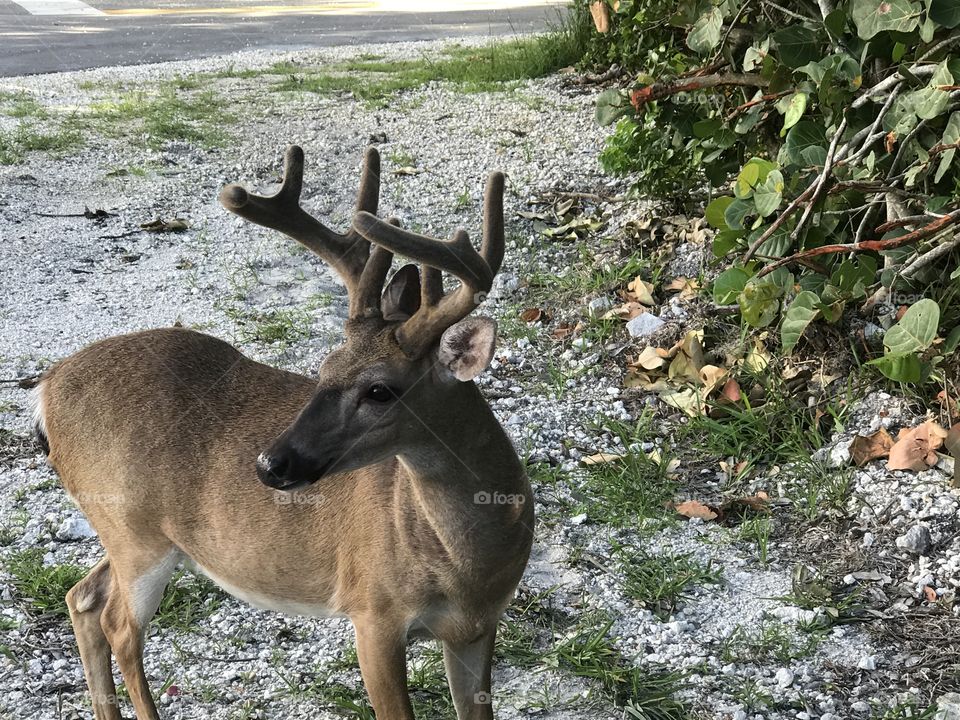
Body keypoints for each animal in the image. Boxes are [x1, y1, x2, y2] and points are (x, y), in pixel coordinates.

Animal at [30, 144, 534, 720]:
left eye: (380, 390)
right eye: (324, 366)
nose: (270, 464)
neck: (470, 567)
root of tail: (45, 390)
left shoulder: (477, 627)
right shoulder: (373, 610)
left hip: (134, 531)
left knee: (83, 596)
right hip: (134, 529)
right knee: (118, 624)